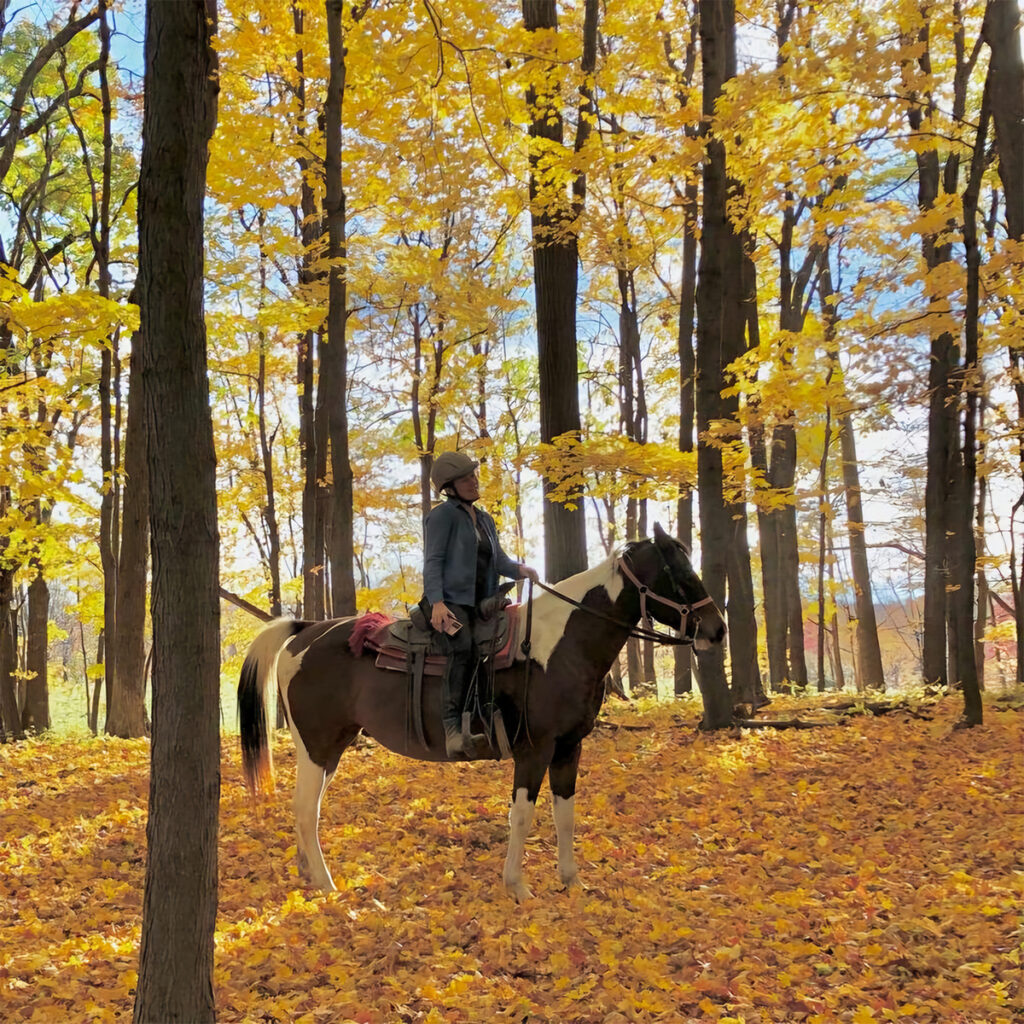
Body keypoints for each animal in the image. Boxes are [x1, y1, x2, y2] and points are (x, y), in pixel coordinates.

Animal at [237, 524, 729, 901]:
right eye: (678, 572)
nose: (717, 630)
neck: (560, 644)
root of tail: (304, 631)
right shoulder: (534, 749)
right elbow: (523, 815)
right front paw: (518, 886)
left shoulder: (569, 748)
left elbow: (565, 813)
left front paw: (571, 881)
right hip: (318, 747)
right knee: (306, 811)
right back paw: (326, 884)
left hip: (331, 750)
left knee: (308, 810)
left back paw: (309, 875)